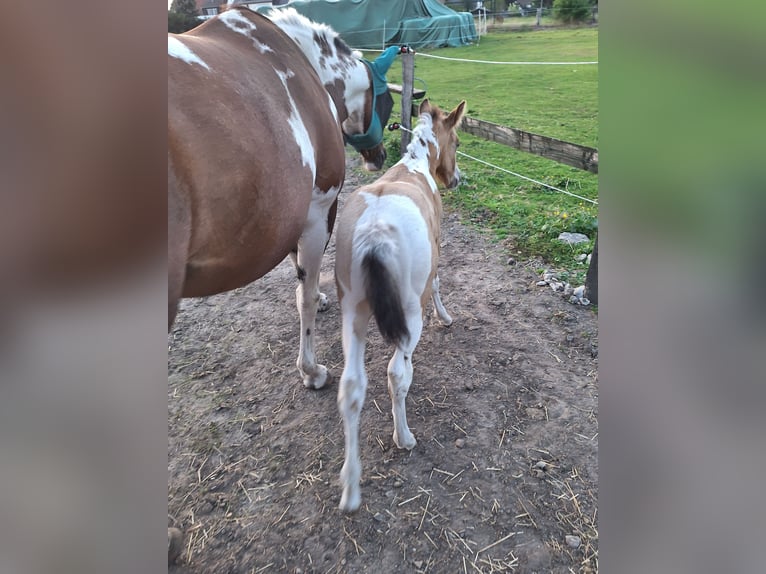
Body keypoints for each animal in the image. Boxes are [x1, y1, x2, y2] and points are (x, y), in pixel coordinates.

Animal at [169, 5, 396, 392]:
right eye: (388, 101)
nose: (378, 156)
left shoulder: (294, 210)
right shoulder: (319, 210)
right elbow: (304, 295)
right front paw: (310, 369)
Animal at [336, 99, 468, 512]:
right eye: (457, 141)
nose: (456, 180)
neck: (415, 167)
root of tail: (375, 233)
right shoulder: (436, 252)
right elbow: (439, 282)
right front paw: (446, 317)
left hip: (353, 313)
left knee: (351, 386)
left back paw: (350, 488)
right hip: (409, 312)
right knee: (395, 373)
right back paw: (404, 437)